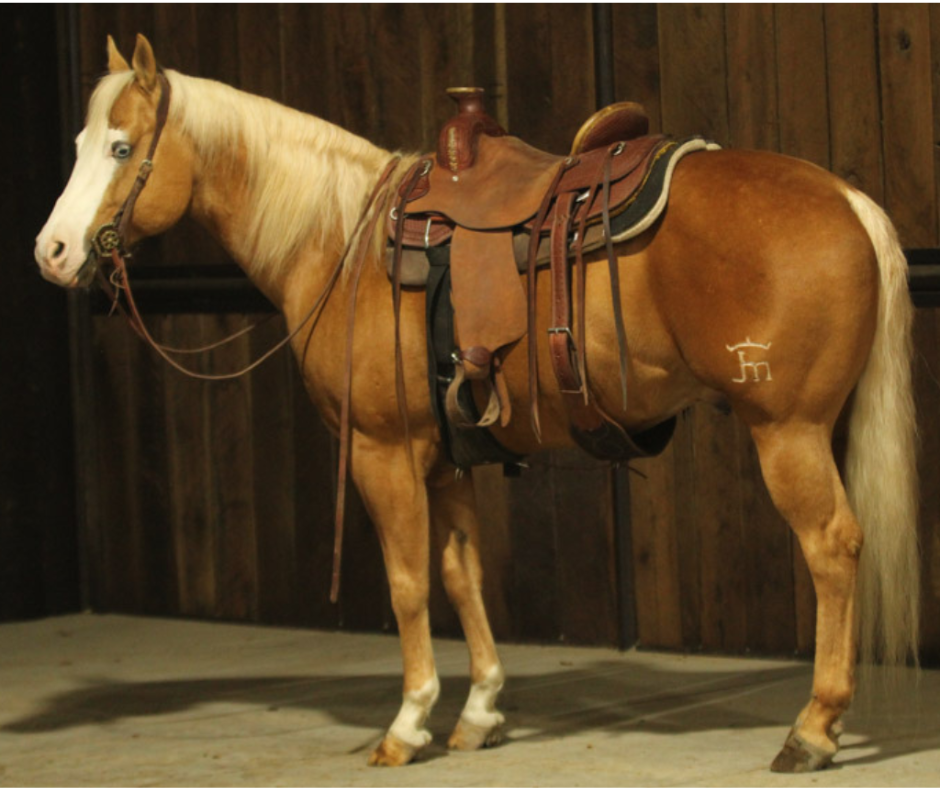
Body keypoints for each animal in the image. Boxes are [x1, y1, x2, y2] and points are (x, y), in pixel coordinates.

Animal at [36, 34, 919, 773]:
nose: (52, 252)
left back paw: (813, 728)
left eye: (122, 148)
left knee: (832, 549)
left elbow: (406, 583)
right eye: (79, 145)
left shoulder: (383, 452)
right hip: (825, 429)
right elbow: (463, 576)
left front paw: (408, 722)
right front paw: (481, 710)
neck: (342, 242)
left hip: (788, 433)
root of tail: (848, 199)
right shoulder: (446, 458)